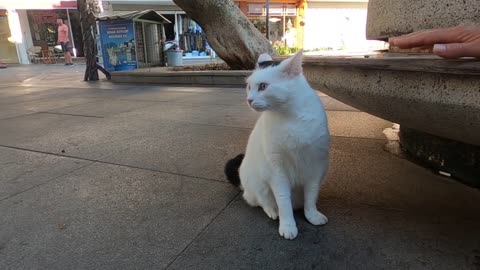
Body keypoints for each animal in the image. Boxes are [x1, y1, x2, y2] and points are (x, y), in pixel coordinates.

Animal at [225, 49, 330, 239]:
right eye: (249, 87)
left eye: (263, 86)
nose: (249, 100)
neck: (291, 117)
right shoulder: (277, 171)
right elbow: (283, 202)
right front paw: (287, 225)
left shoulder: (316, 167)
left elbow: (311, 196)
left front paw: (312, 215)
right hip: (258, 183)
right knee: (262, 201)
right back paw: (273, 212)